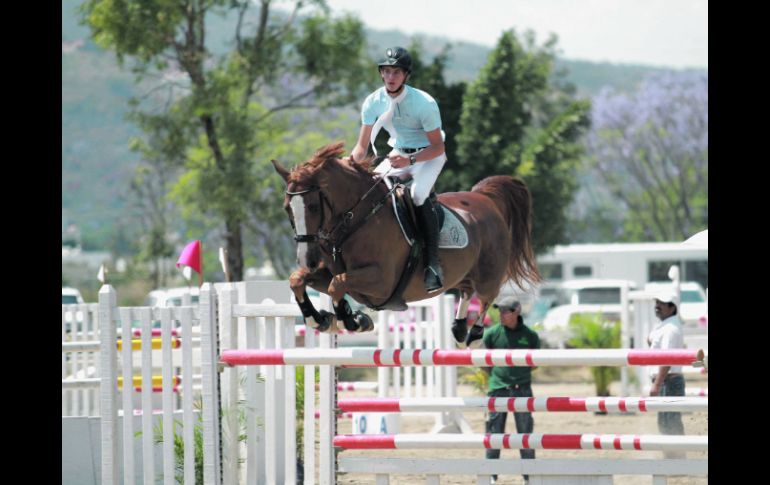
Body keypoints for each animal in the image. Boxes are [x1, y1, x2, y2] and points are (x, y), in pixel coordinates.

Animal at [272, 142, 536, 346]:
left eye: (313, 207)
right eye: (287, 209)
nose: (307, 259)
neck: (357, 219)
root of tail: (484, 198)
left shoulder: (381, 281)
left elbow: (337, 284)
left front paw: (352, 320)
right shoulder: (330, 273)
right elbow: (298, 280)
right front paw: (320, 319)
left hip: (489, 273)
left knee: (487, 295)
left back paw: (474, 335)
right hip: (464, 273)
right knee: (466, 290)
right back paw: (459, 327)